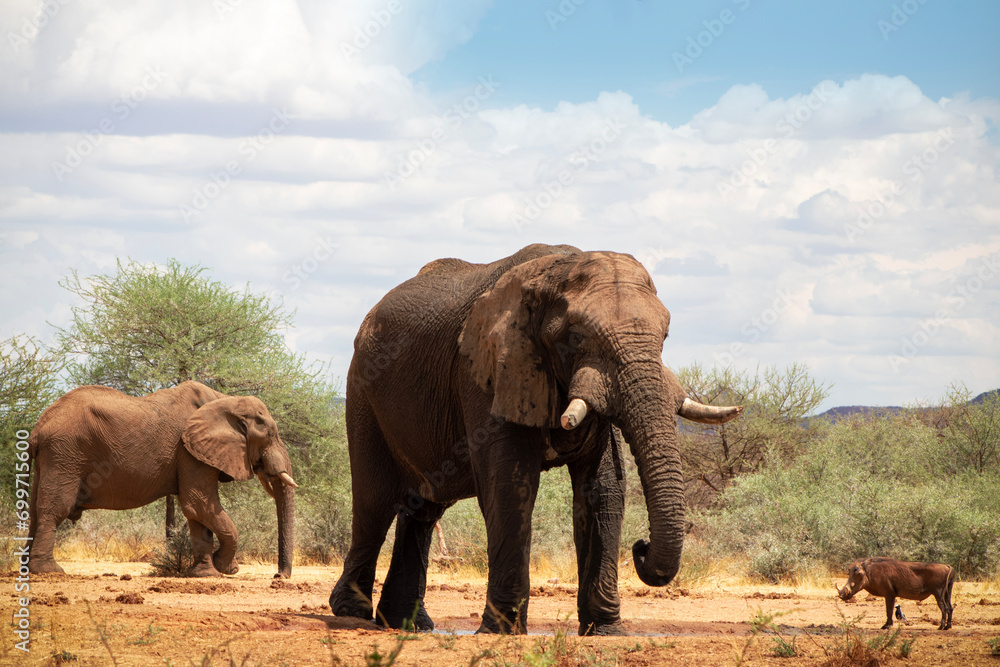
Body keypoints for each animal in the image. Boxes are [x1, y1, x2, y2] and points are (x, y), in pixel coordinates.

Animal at [26, 381, 297, 578]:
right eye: (269, 436)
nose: (278, 576)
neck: (225, 399)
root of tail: (37, 428)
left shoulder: (193, 453)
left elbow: (197, 514)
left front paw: (204, 574)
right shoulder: (190, 452)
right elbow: (199, 504)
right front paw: (225, 568)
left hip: (52, 458)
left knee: (35, 511)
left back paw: (28, 569)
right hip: (65, 454)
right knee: (54, 509)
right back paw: (50, 571)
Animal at [329, 244, 742, 635]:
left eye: (665, 336)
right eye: (576, 336)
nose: (640, 547)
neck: (556, 272)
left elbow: (603, 488)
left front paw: (606, 631)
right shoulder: (489, 371)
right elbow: (510, 487)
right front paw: (503, 631)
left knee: (424, 508)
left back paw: (408, 624)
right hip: (362, 388)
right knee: (374, 502)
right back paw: (352, 612)